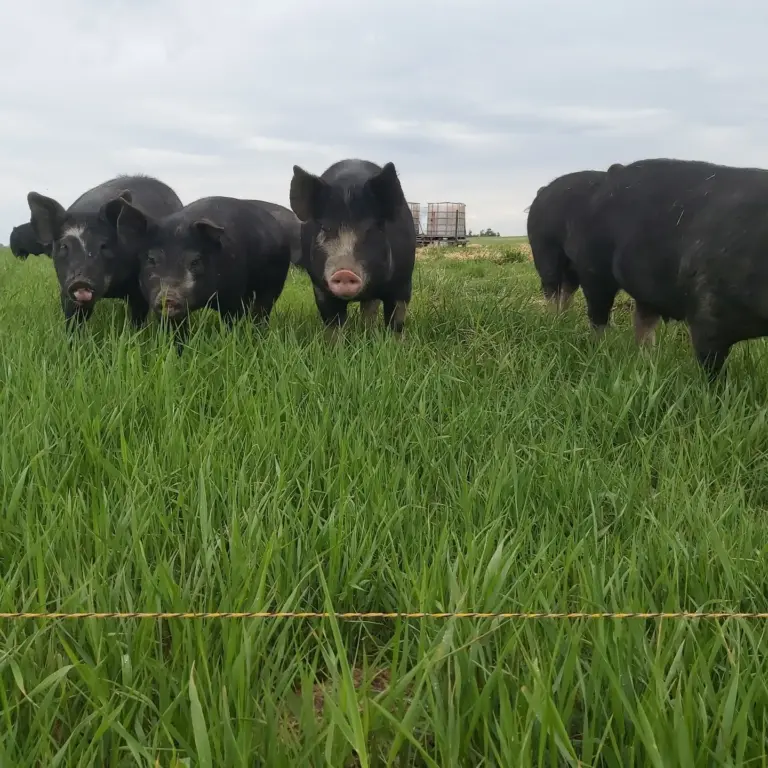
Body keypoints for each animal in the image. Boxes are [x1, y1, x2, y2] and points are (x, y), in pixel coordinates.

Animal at [26, 174, 183, 328]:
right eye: (64, 246)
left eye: (103, 246)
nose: (80, 281)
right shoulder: (65, 289)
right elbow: (73, 320)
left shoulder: (139, 287)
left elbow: (137, 318)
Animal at [113, 195, 291, 345]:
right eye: (151, 259)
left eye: (195, 261)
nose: (168, 297)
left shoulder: (232, 297)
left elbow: (231, 322)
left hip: (274, 283)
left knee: (262, 310)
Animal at [289, 159, 416, 334]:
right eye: (325, 228)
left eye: (371, 229)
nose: (344, 272)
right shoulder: (320, 288)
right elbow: (333, 323)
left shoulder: (403, 283)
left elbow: (396, 321)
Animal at [526, 169, 607, 315]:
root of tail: (542, 191)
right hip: (544, 247)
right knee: (551, 285)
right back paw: (552, 317)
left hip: (571, 262)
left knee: (568, 286)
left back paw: (565, 316)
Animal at [573, 157, 768, 379]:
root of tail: (615, 171)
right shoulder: (705, 312)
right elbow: (711, 365)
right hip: (593, 269)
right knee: (598, 314)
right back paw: (601, 351)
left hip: (644, 290)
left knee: (643, 321)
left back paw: (647, 361)